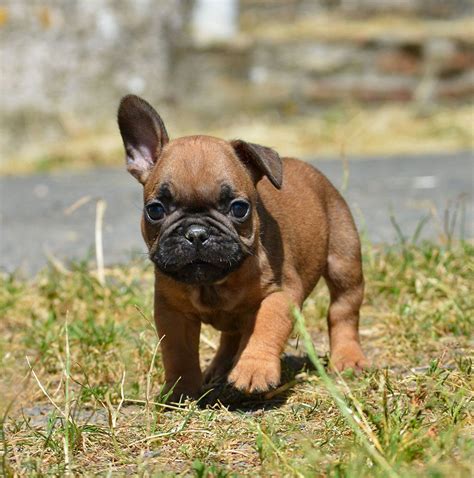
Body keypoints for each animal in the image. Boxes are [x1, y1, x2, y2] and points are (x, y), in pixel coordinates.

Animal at [116, 94, 368, 400]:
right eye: (155, 210)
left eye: (239, 208)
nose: (196, 233)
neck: (214, 284)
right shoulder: (172, 312)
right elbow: (178, 352)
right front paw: (181, 389)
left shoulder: (280, 295)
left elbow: (265, 329)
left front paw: (253, 370)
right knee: (231, 335)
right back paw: (218, 368)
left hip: (343, 260)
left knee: (343, 309)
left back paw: (348, 359)